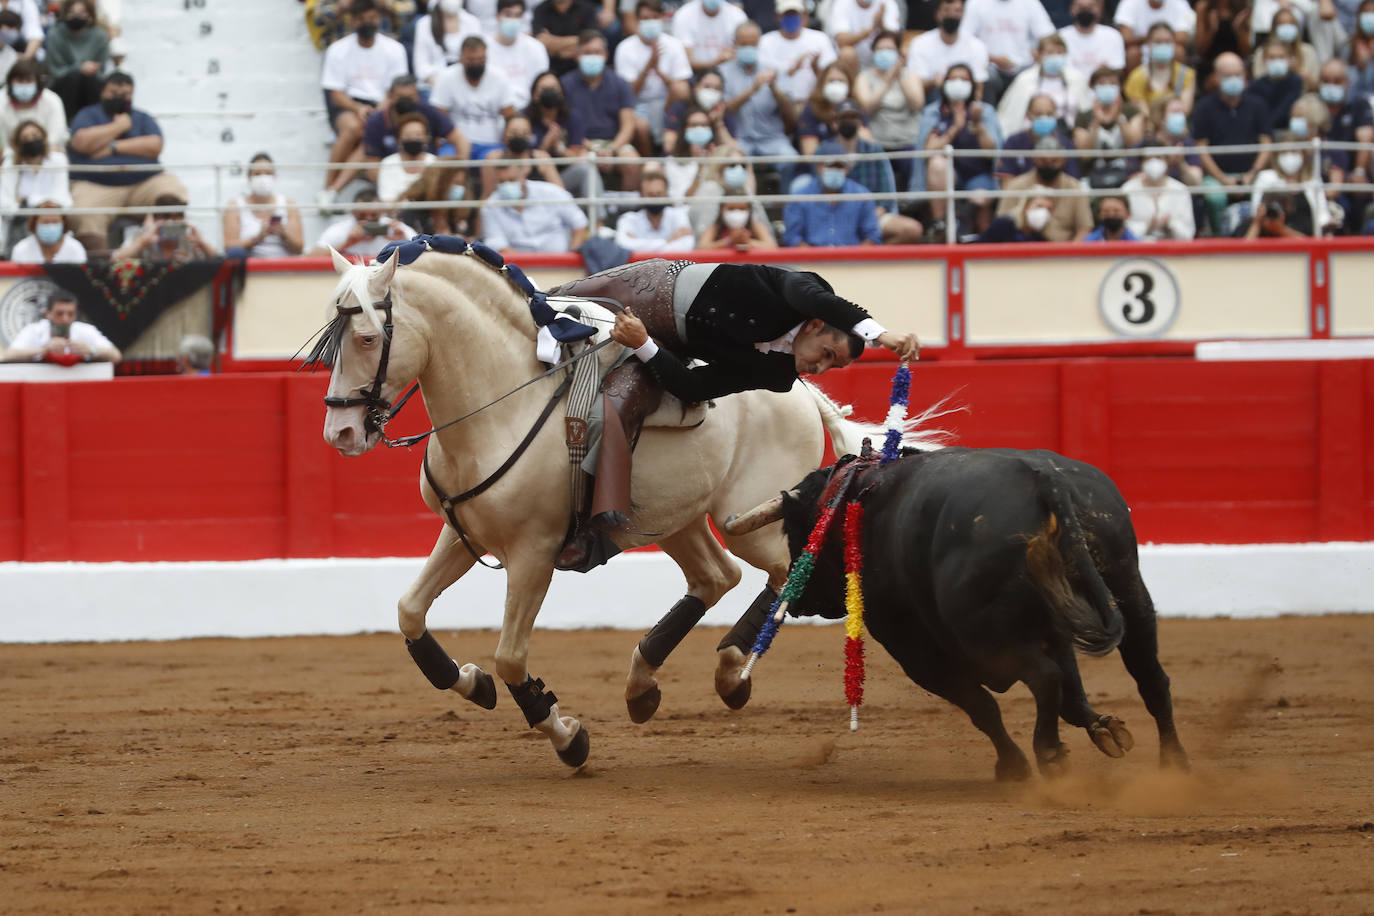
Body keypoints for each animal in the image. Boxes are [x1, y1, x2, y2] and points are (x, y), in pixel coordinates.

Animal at [316, 245, 928, 769]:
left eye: (366, 338)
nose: (340, 433)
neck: (504, 402)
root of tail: (804, 392)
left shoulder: (534, 552)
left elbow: (510, 655)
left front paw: (567, 737)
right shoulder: (463, 533)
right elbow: (409, 611)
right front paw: (472, 683)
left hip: (747, 519)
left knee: (782, 570)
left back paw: (732, 673)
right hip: (671, 516)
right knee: (715, 576)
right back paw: (643, 683)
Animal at [774, 447, 1192, 780]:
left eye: (795, 533)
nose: (792, 594)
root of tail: (1043, 478)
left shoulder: (916, 653)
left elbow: (982, 707)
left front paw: (1012, 766)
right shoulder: (1054, 630)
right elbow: (1072, 696)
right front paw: (1105, 729)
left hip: (987, 633)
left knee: (1044, 678)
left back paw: (1049, 755)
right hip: (1129, 592)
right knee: (1151, 679)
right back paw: (1174, 764)